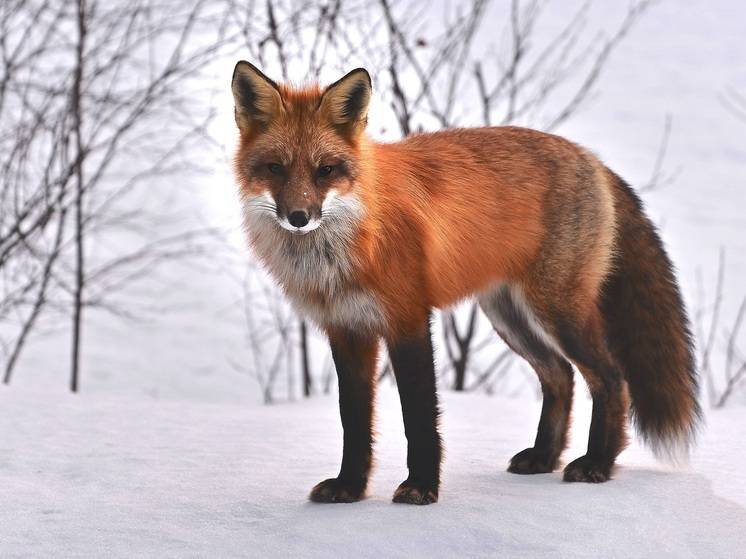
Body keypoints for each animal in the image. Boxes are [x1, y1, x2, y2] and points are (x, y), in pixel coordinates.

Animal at [231, 62, 696, 508]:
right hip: (509, 317)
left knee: (612, 378)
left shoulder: (408, 320)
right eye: (275, 168)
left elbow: (419, 418)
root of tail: (590, 157)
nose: (299, 217)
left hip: (557, 311)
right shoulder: (347, 330)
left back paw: (597, 462)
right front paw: (350, 488)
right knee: (560, 375)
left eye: (325, 170)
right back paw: (544, 457)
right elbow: (354, 422)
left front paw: (421, 488)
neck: (348, 243)